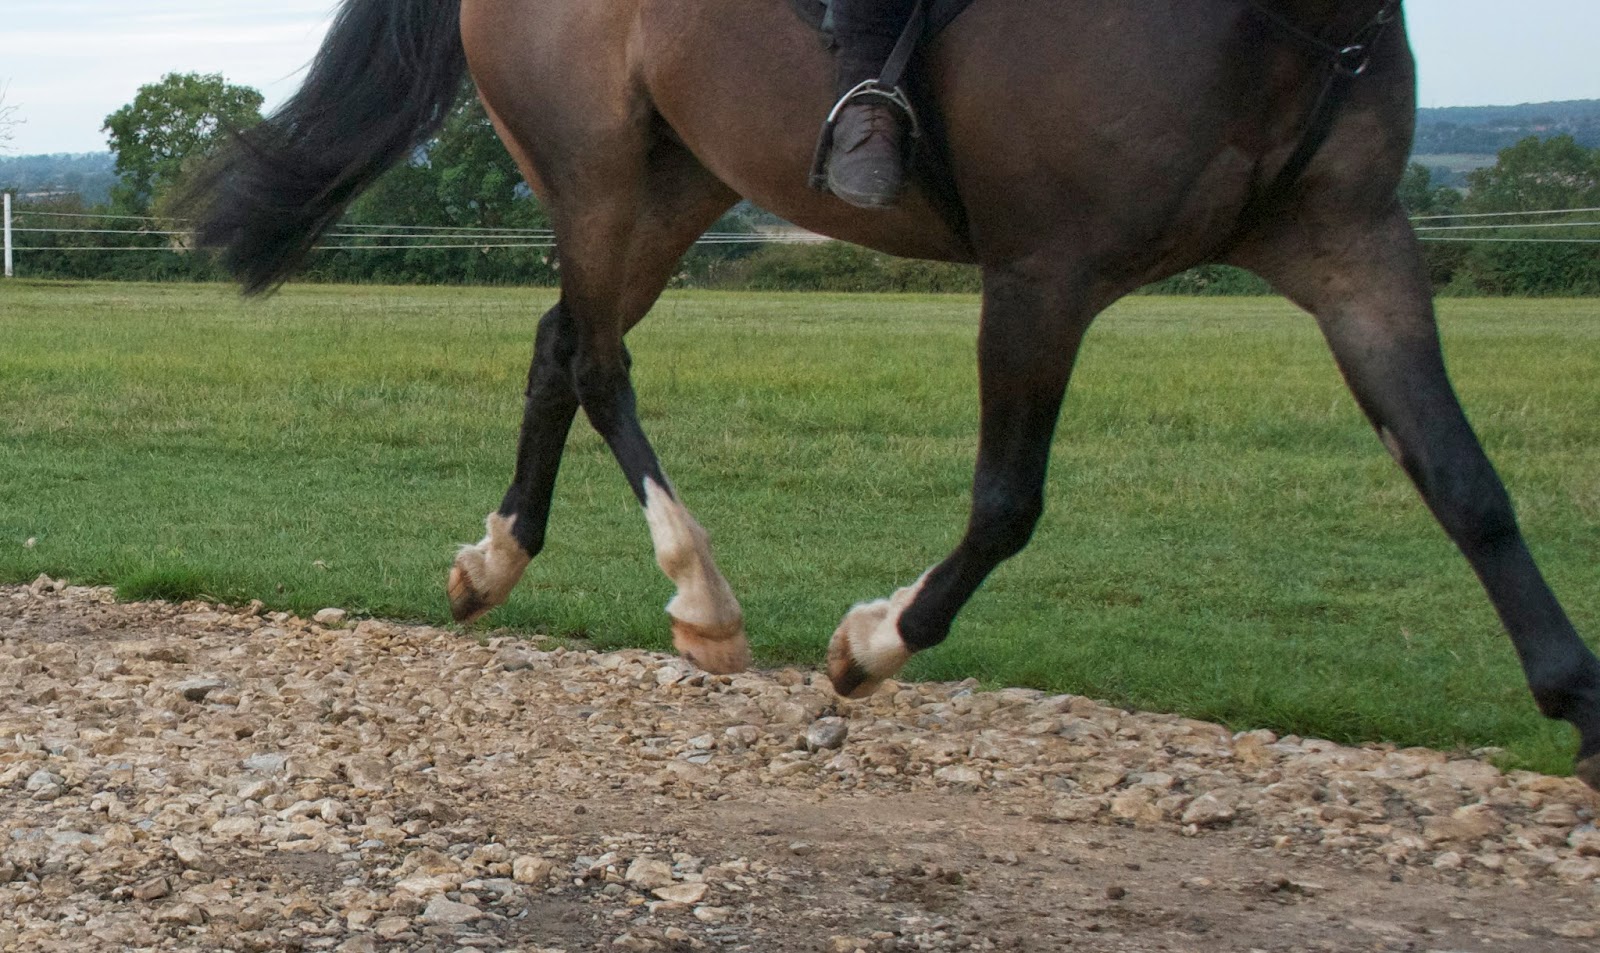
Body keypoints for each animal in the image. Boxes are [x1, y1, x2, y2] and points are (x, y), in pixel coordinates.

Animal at [183, 0, 1600, 787]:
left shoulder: (1354, 246)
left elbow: (1463, 482)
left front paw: (1578, 704)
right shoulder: (1042, 274)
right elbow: (1008, 501)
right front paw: (869, 644)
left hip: (680, 177)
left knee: (556, 344)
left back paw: (499, 559)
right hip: (594, 167)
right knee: (593, 358)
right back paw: (698, 594)